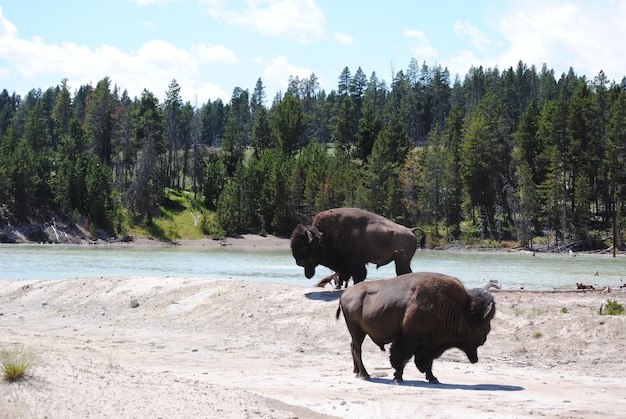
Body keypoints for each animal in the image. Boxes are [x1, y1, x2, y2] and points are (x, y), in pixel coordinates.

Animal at [288, 208, 420, 288]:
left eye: (305, 248)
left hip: (401, 261)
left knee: (403, 273)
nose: (298, 262)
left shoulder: (356, 264)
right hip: (402, 261)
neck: (325, 237)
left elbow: (358, 276)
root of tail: (410, 230)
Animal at [334, 272, 494, 384]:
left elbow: (427, 362)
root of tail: (345, 294)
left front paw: (433, 378)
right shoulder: (409, 339)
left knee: (353, 347)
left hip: (357, 332)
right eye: (483, 323)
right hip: (356, 329)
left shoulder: (426, 343)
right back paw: (365, 375)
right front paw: (398, 377)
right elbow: (402, 359)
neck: (460, 309)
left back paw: (357, 372)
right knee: (357, 349)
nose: (485, 338)